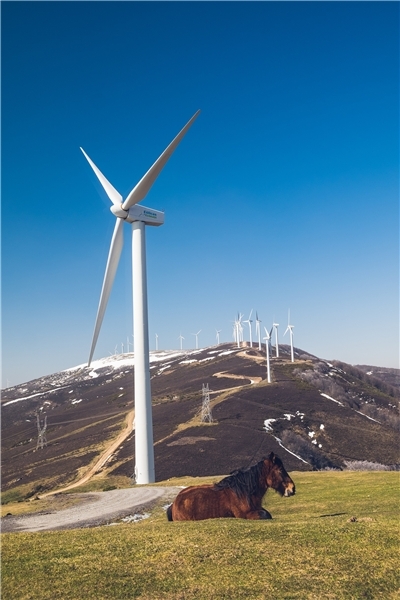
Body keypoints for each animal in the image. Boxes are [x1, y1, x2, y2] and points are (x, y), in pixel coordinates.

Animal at [166, 450, 294, 520]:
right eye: (280, 470)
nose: (292, 488)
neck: (244, 492)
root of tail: (175, 502)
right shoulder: (246, 515)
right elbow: (266, 515)